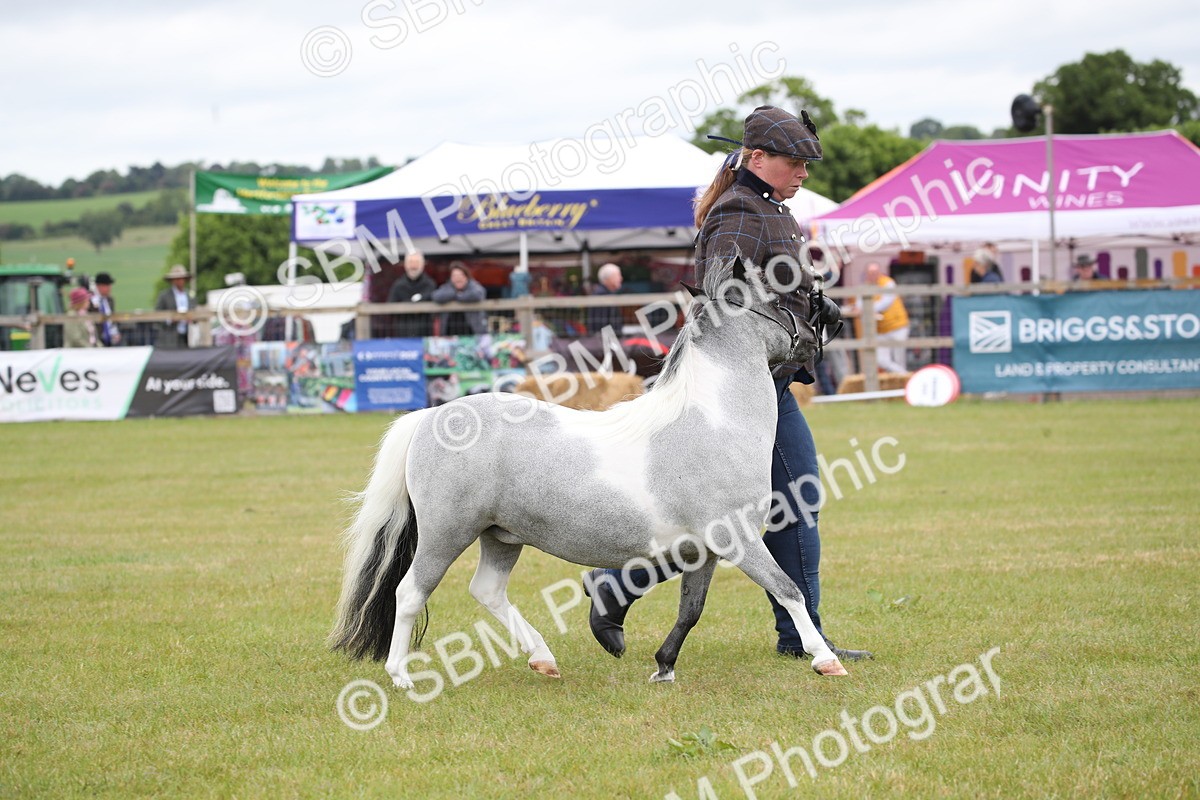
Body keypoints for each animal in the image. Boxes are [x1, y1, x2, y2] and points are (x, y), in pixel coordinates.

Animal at [330, 256, 849, 687]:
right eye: (781, 300)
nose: (825, 330)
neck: (714, 421)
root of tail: (432, 416)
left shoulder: (702, 551)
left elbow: (691, 610)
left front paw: (663, 667)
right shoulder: (737, 538)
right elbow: (789, 590)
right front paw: (826, 659)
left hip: (501, 535)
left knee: (488, 591)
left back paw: (543, 659)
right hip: (446, 531)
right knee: (410, 592)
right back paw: (401, 676)